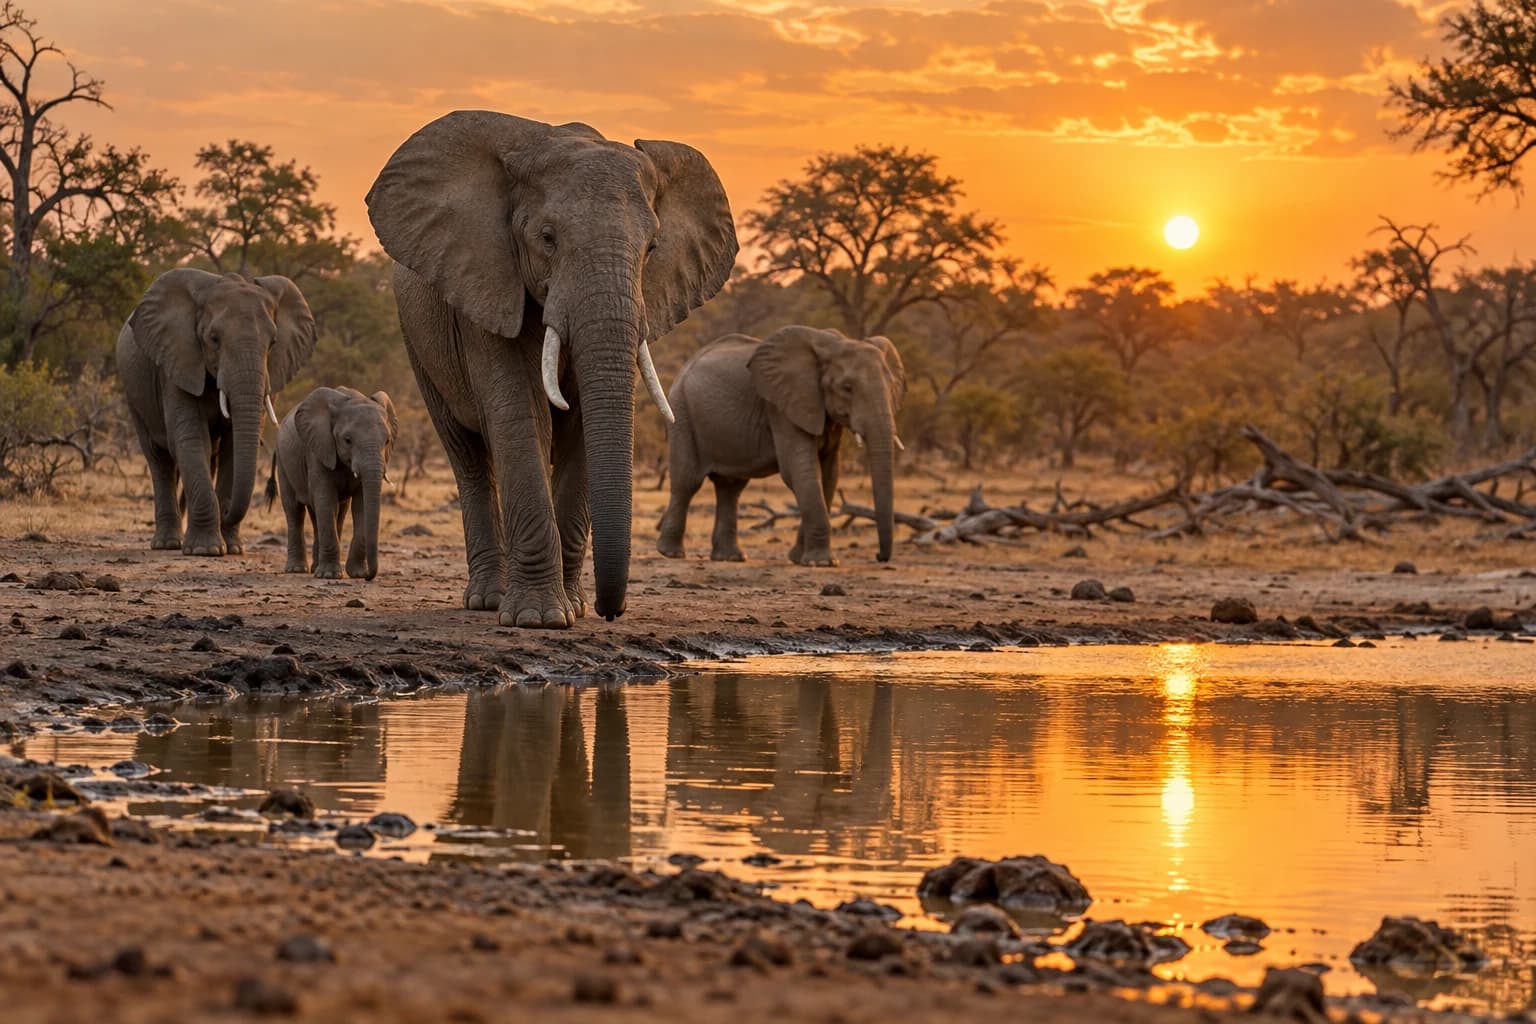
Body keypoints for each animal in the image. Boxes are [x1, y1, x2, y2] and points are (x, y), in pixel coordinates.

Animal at [117, 269, 317, 556]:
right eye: (214, 339)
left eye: (273, 342)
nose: (227, 511)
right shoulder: (178, 363)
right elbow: (191, 440)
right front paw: (206, 550)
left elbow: (232, 447)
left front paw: (231, 548)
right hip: (134, 393)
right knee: (159, 458)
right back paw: (168, 544)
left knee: (207, 457)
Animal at [269, 386, 398, 580]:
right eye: (347, 440)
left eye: (387, 440)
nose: (369, 575)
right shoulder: (318, 449)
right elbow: (325, 500)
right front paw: (329, 575)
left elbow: (360, 506)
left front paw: (356, 573)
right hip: (283, 462)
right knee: (295, 511)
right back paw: (297, 569)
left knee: (333, 514)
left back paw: (315, 567)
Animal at [365, 110, 737, 627]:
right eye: (547, 239)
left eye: (651, 248)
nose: (610, 611)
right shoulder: (486, 283)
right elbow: (521, 417)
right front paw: (538, 618)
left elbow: (581, 428)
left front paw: (572, 608)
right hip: (417, 342)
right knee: (469, 457)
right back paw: (488, 600)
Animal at [656, 326, 906, 565]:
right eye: (847, 387)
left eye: (892, 386)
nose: (879, 557)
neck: (834, 343)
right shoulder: (781, 408)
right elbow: (801, 470)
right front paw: (822, 562)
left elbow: (829, 474)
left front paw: (800, 558)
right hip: (681, 413)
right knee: (687, 482)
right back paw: (671, 553)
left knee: (730, 487)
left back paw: (730, 557)